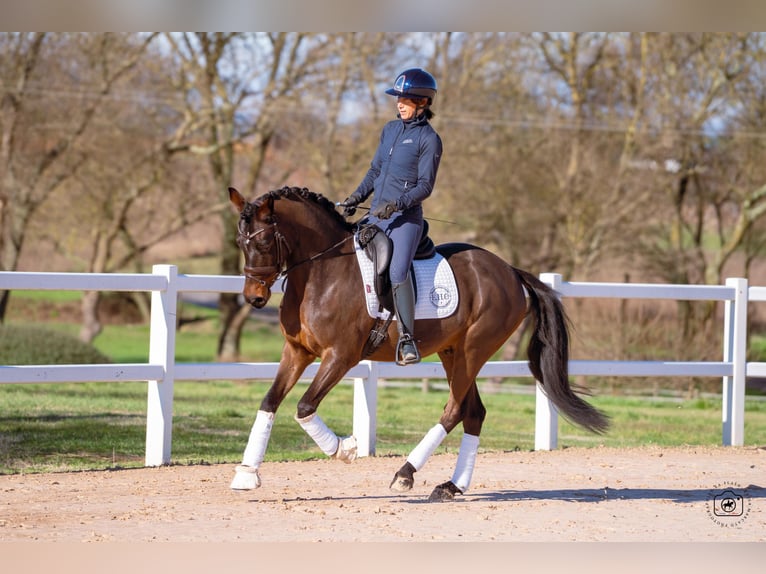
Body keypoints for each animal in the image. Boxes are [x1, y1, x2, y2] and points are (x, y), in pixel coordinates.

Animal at [227, 185, 609, 501]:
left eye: (263, 243)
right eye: (240, 243)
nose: (254, 298)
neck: (321, 273)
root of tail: (510, 271)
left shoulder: (341, 356)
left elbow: (305, 406)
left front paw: (345, 448)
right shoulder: (297, 352)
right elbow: (270, 401)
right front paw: (246, 473)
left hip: (473, 350)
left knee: (454, 410)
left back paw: (405, 473)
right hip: (452, 352)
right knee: (473, 412)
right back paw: (452, 486)